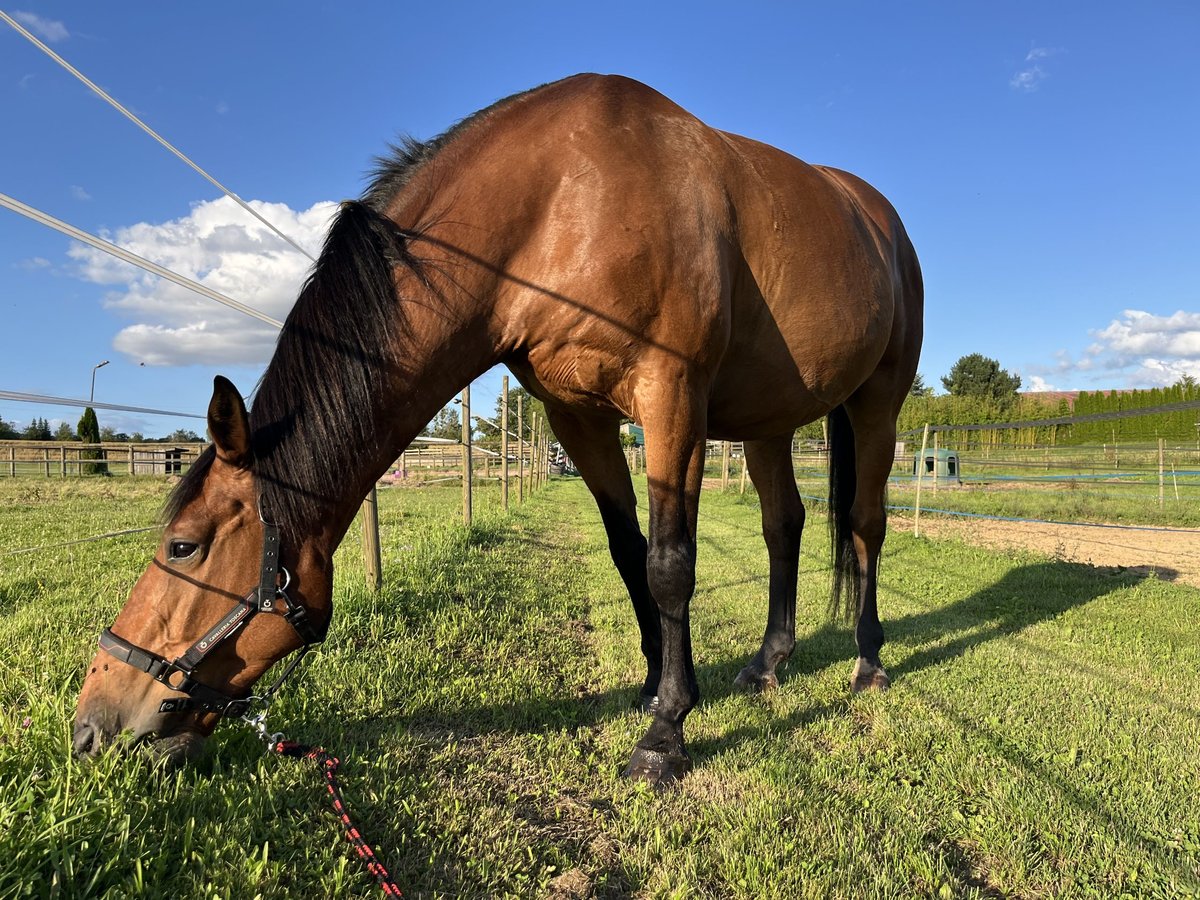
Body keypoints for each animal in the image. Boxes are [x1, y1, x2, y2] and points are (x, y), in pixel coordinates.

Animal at [72, 74, 916, 787]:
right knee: (785, 526)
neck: (565, 202)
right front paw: (654, 686)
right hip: (768, 423)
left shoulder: (671, 397)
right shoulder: (578, 414)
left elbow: (671, 564)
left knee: (865, 525)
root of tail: (880, 219)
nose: (90, 723)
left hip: (878, 402)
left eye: (183, 545)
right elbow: (628, 553)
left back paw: (869, 662)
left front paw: (666, 733)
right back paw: (768, 662)